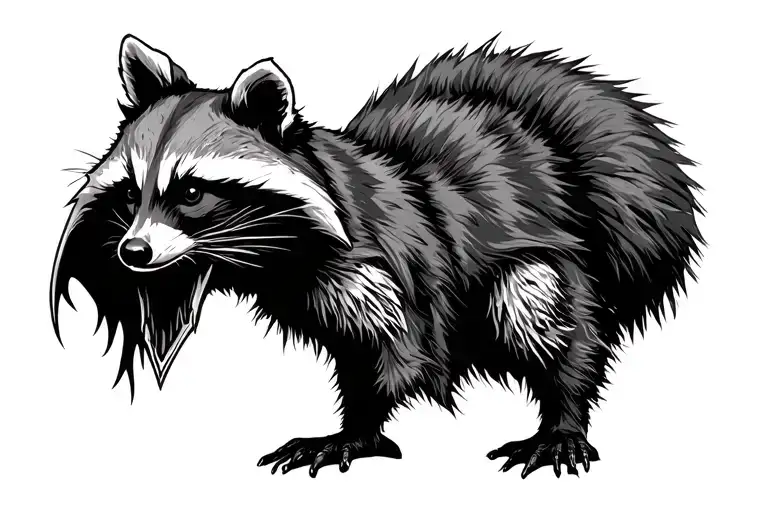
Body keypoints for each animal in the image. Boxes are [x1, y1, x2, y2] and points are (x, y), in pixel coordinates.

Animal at [50, 34, 703, 479]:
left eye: (191, 192)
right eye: (131, 193)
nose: (133, 252)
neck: (272, 250)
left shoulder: (391, 260)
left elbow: (403, 348)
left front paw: (364, 425)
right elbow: (360, 359)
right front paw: (355, 428)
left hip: (544, 251)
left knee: (548, 319)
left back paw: (563, 416)